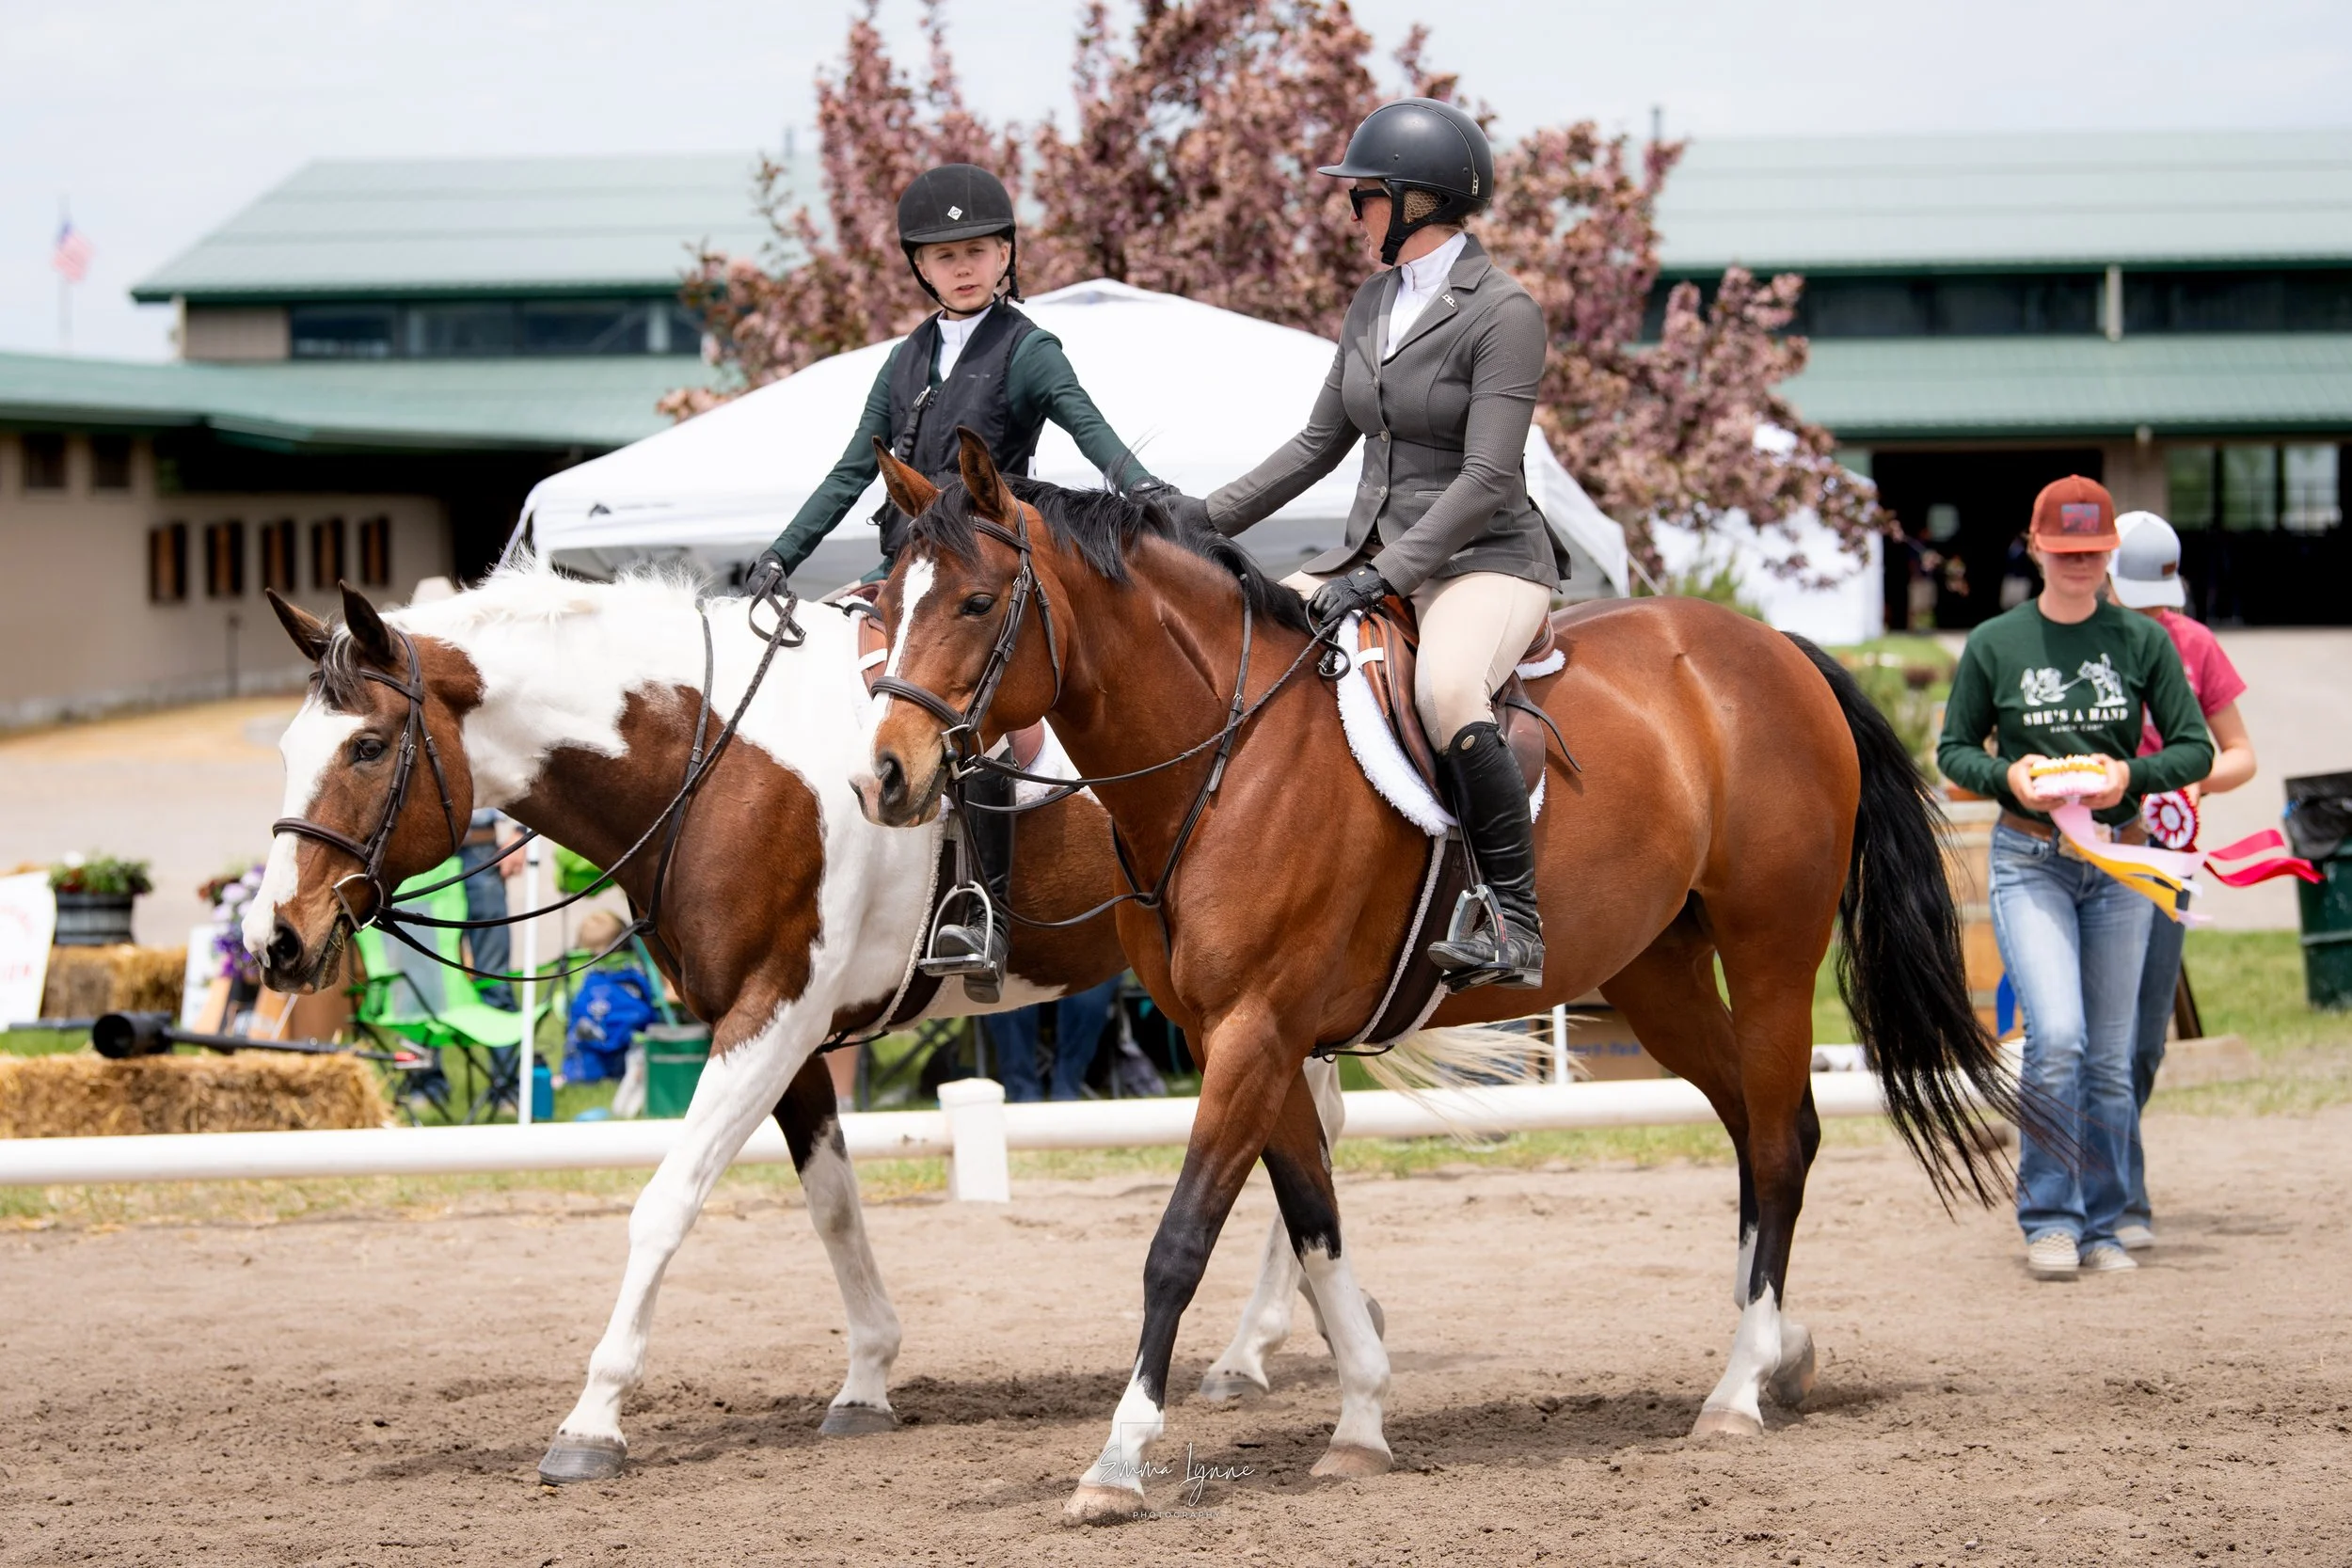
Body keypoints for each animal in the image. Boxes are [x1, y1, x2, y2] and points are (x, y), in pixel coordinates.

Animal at [243, 564, 1387, 1485]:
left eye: (368, 745)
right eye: (290, 745)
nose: (277, 939)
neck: (713, 759)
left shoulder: (773, 1012)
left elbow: (664, 1204)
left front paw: (592, 1421)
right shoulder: (777, 1030)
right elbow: (833, 1205)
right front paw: (867, 1379)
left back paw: (1258, 1347)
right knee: (1310, 1124)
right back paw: (1284, 1338)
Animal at [860, 431, 2013, 1523]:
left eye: (975, 601)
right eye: (881, 599)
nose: (885, 777)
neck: (1224, 755)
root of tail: (1773, 647)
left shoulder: (1256, 1030)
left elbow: (1179, 1241)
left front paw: (1116, 1460)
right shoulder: (1242, 1035)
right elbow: (1316, 1225)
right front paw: (1360, 1423)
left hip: (1770, 948)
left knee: (1777, 1142)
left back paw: (1735, 1392)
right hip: (1658, 975)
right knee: (1757, 1127)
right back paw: (1778, 1348)